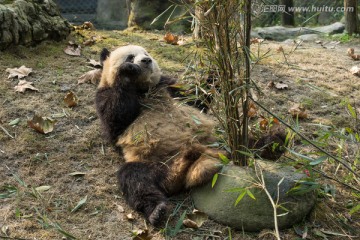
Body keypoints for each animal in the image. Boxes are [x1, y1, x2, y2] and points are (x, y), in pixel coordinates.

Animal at [94, 45, 224, 227]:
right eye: (130, 57)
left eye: (146, 53)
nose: (146, 60)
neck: (144, 89)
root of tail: (182, 171)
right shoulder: (104, 95)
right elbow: (115, 119)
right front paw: (127, 72)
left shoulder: (168, 85)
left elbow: (196, 97)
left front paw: (216, 72)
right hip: (155, 164)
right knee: (135, 180)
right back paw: (157, 211)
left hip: (216, 140)